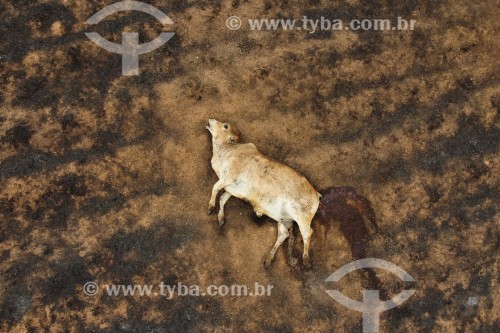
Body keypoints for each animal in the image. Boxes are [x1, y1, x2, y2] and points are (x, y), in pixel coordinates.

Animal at [206, 118, 320, 266]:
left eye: (225, 126)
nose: (210, 120)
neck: (227, 151)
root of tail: (316, 195)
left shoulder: (228, 177)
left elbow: (215, 188)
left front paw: (210, 208)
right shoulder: (230, 188)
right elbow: (222, 198)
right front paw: (220, 219)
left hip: (301, 216)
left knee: (308, 233)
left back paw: (305, 259)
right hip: (282, 218)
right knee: (283, 235)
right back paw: (268, 259)